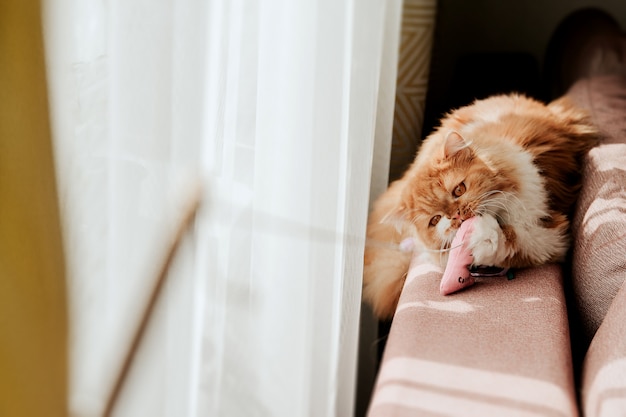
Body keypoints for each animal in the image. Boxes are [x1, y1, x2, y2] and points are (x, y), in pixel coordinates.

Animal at [364, 92, 596, 316]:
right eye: (435, 219)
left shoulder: (550, 234)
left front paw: (480, 237)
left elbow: (512, 240)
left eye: (459, 190)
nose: (456, 216)